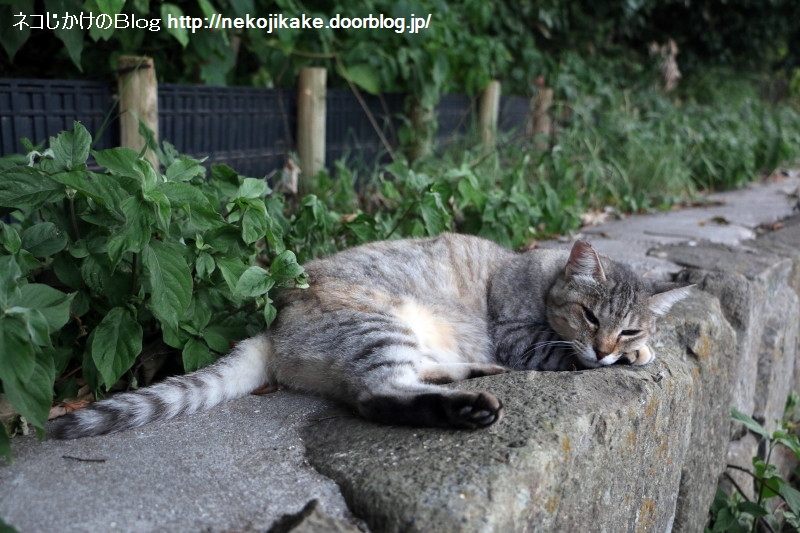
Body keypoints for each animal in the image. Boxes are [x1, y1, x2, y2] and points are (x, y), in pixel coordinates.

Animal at [50, 235, 692, 438]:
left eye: (627, 322)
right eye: (589, 316)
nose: (609, 346)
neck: (540, 272)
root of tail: (275, 325)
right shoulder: (519, 335)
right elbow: (559, 353)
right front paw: (633, 357)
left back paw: (471, 373)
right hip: (379, 327)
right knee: (375, 395)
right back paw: (467, 408)